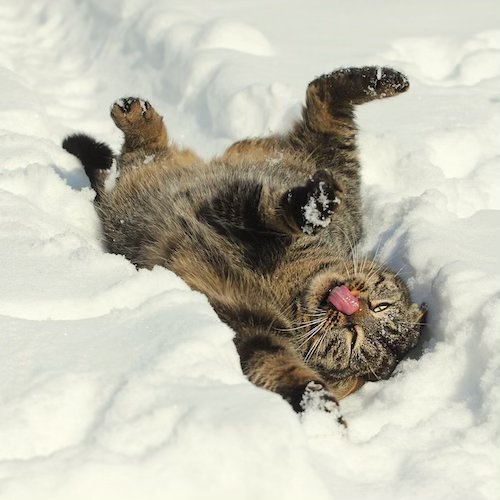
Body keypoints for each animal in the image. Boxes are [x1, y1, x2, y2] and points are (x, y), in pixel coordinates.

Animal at [60, 67, 424, 418]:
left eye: (353, 341)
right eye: (380, 306)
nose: (352, 308)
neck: (290, 282)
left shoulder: (252, 329)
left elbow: (282, 369)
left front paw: (321, 412)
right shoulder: (238, 211)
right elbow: (270, 210)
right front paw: (311, 206)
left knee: (136, 156)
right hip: (325, 164)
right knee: (322, 99)